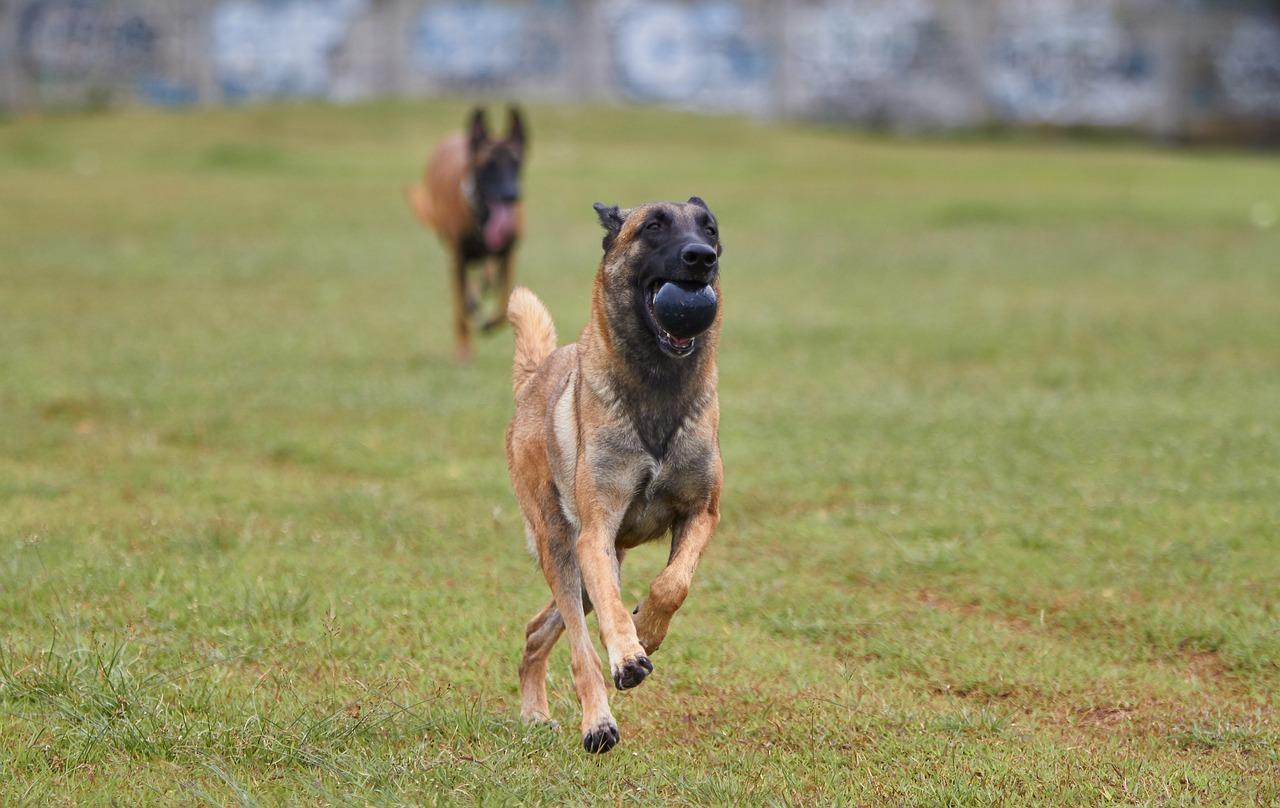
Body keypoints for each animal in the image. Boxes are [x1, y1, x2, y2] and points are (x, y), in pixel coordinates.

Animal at [501, 199, 727, 758]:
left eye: (709, 228)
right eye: (654, 226)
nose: (701, 257)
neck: (658, 387)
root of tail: (536, 376)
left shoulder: (702, 513)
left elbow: (673, 583)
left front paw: (648, 629)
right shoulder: (595, 534)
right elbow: (609, 619)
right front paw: (628, 653)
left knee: (536, 630)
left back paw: (535, 712)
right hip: (563, 549)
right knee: (581, 645)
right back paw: (596, 723)